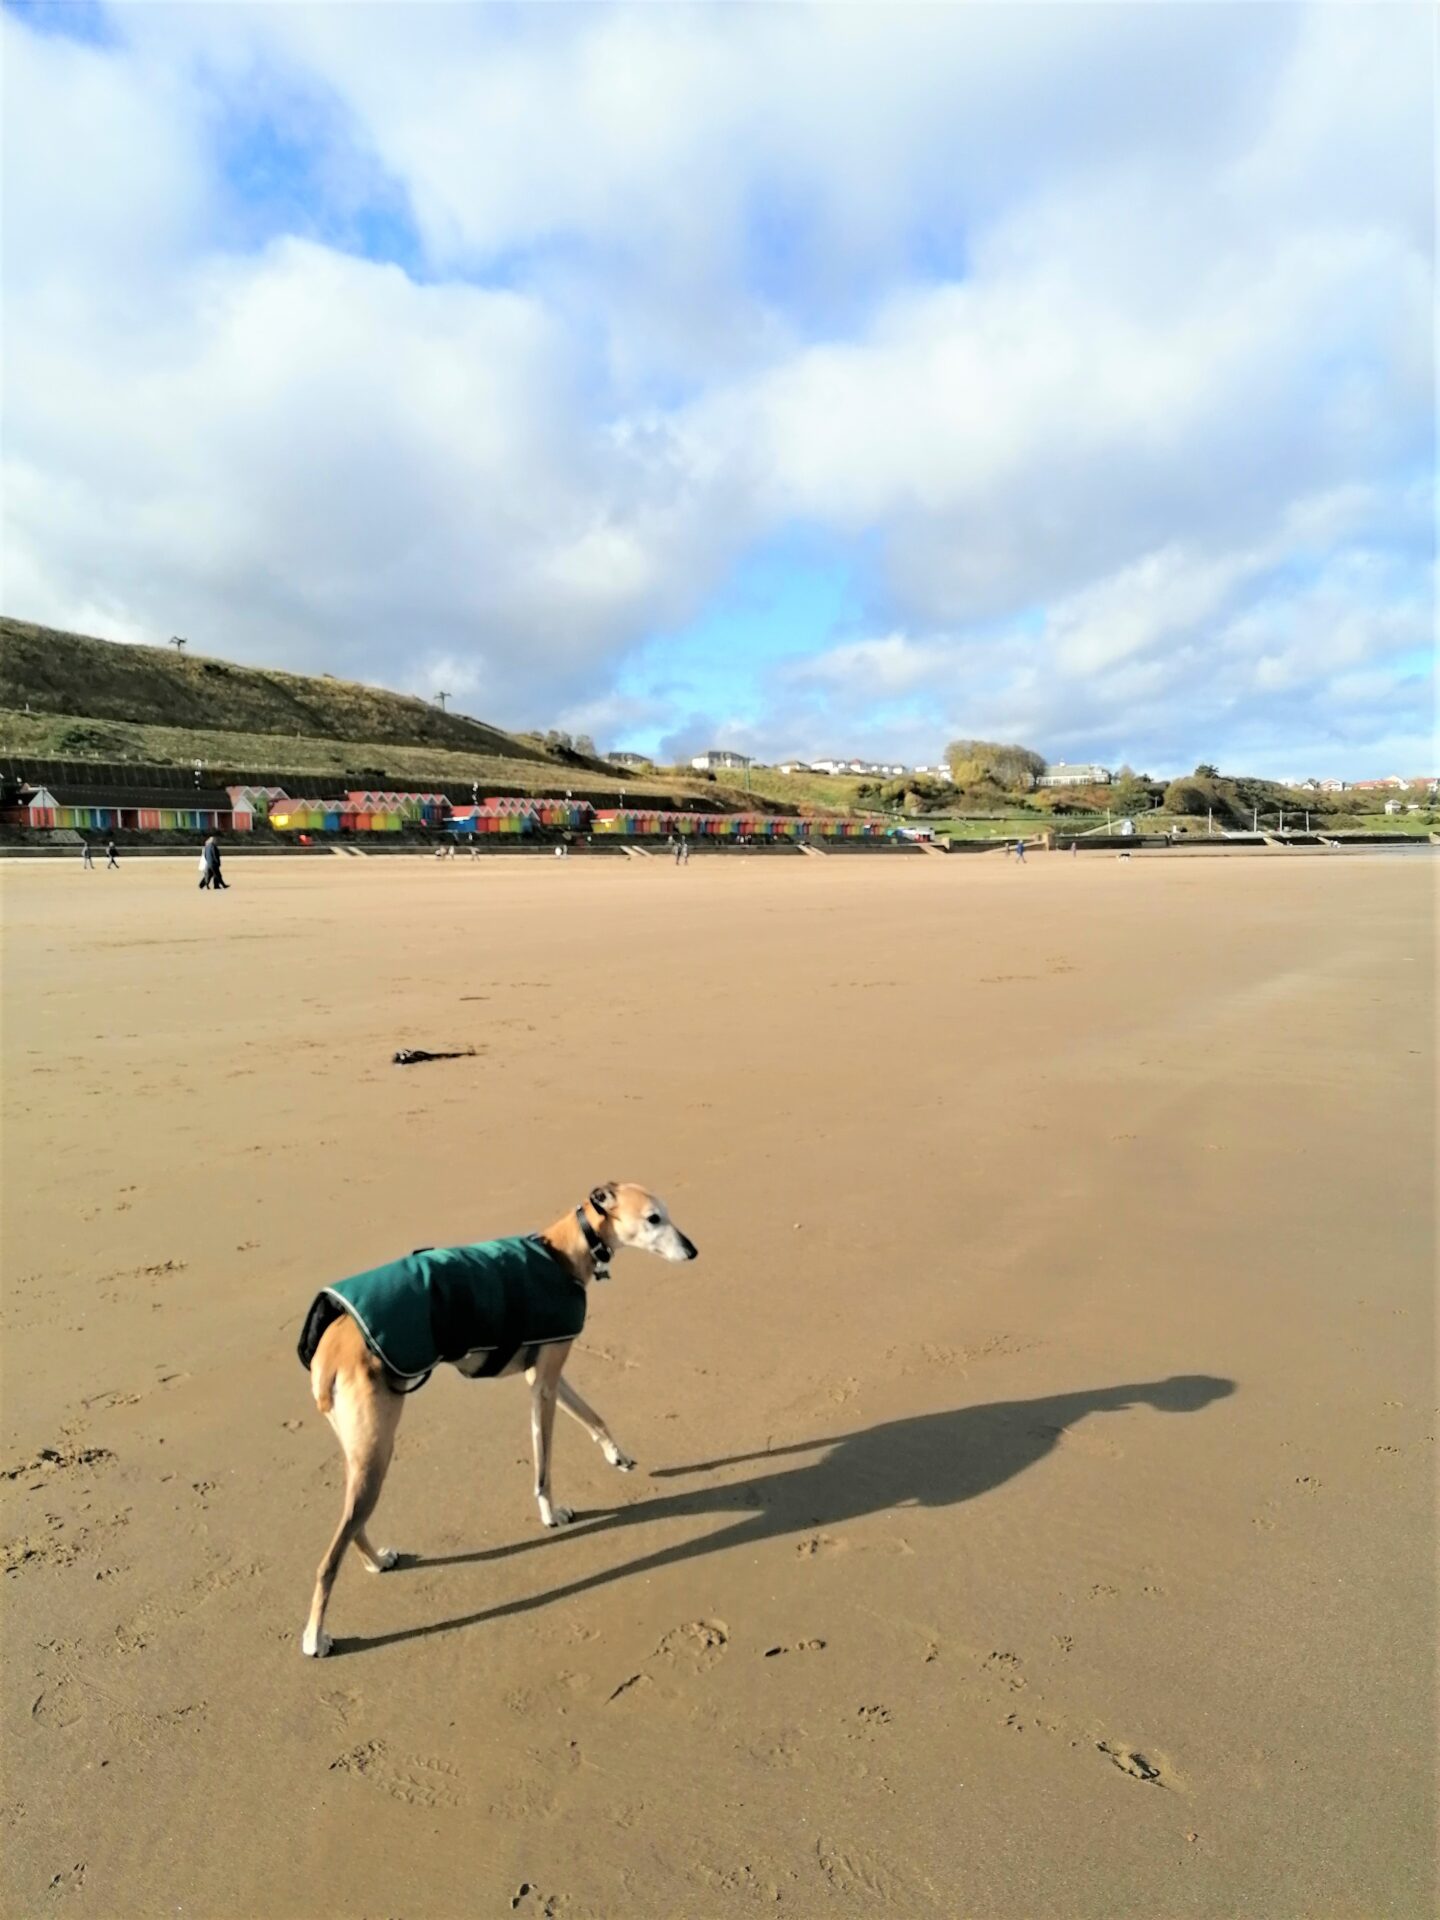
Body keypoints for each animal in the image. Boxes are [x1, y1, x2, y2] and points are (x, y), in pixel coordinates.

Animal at [293, 1175, 698, 1658]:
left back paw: (377, 1561)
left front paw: (616, 1454)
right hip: (377, 1450)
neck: (563, 1251)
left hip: (360, 1452)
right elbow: (543, 1464)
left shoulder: (546, 1372)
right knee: (329, 1557)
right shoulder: (542, 1384)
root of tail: (331, 1347)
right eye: (654, 1218)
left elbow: (593, 1416)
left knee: (351, 1526)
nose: (693, 1251)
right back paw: (315, 1635)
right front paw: (550, 1513)